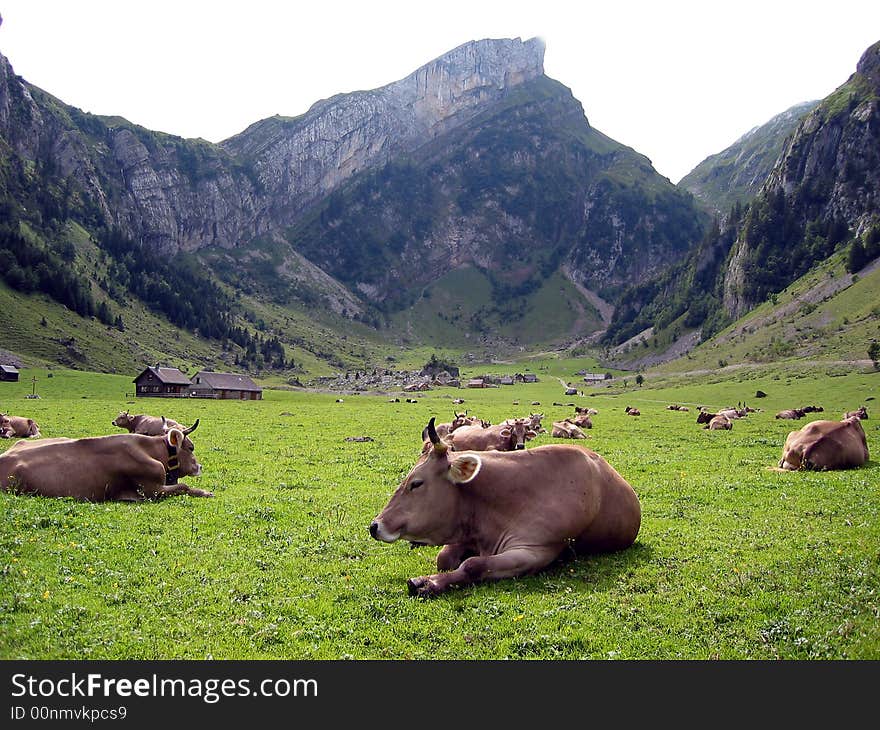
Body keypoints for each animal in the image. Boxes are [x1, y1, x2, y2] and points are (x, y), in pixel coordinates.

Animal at [0, 420, 210, 500]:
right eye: (191, 447)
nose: (199, 466)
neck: (149, 450)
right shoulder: (152, 490)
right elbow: (183, 486)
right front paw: (205, 492)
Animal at [368, 418, 644, 596]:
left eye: (416, 483)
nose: (374, 526)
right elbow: (444, 557)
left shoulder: (535, 551)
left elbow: (473, 565)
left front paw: (428, 583)